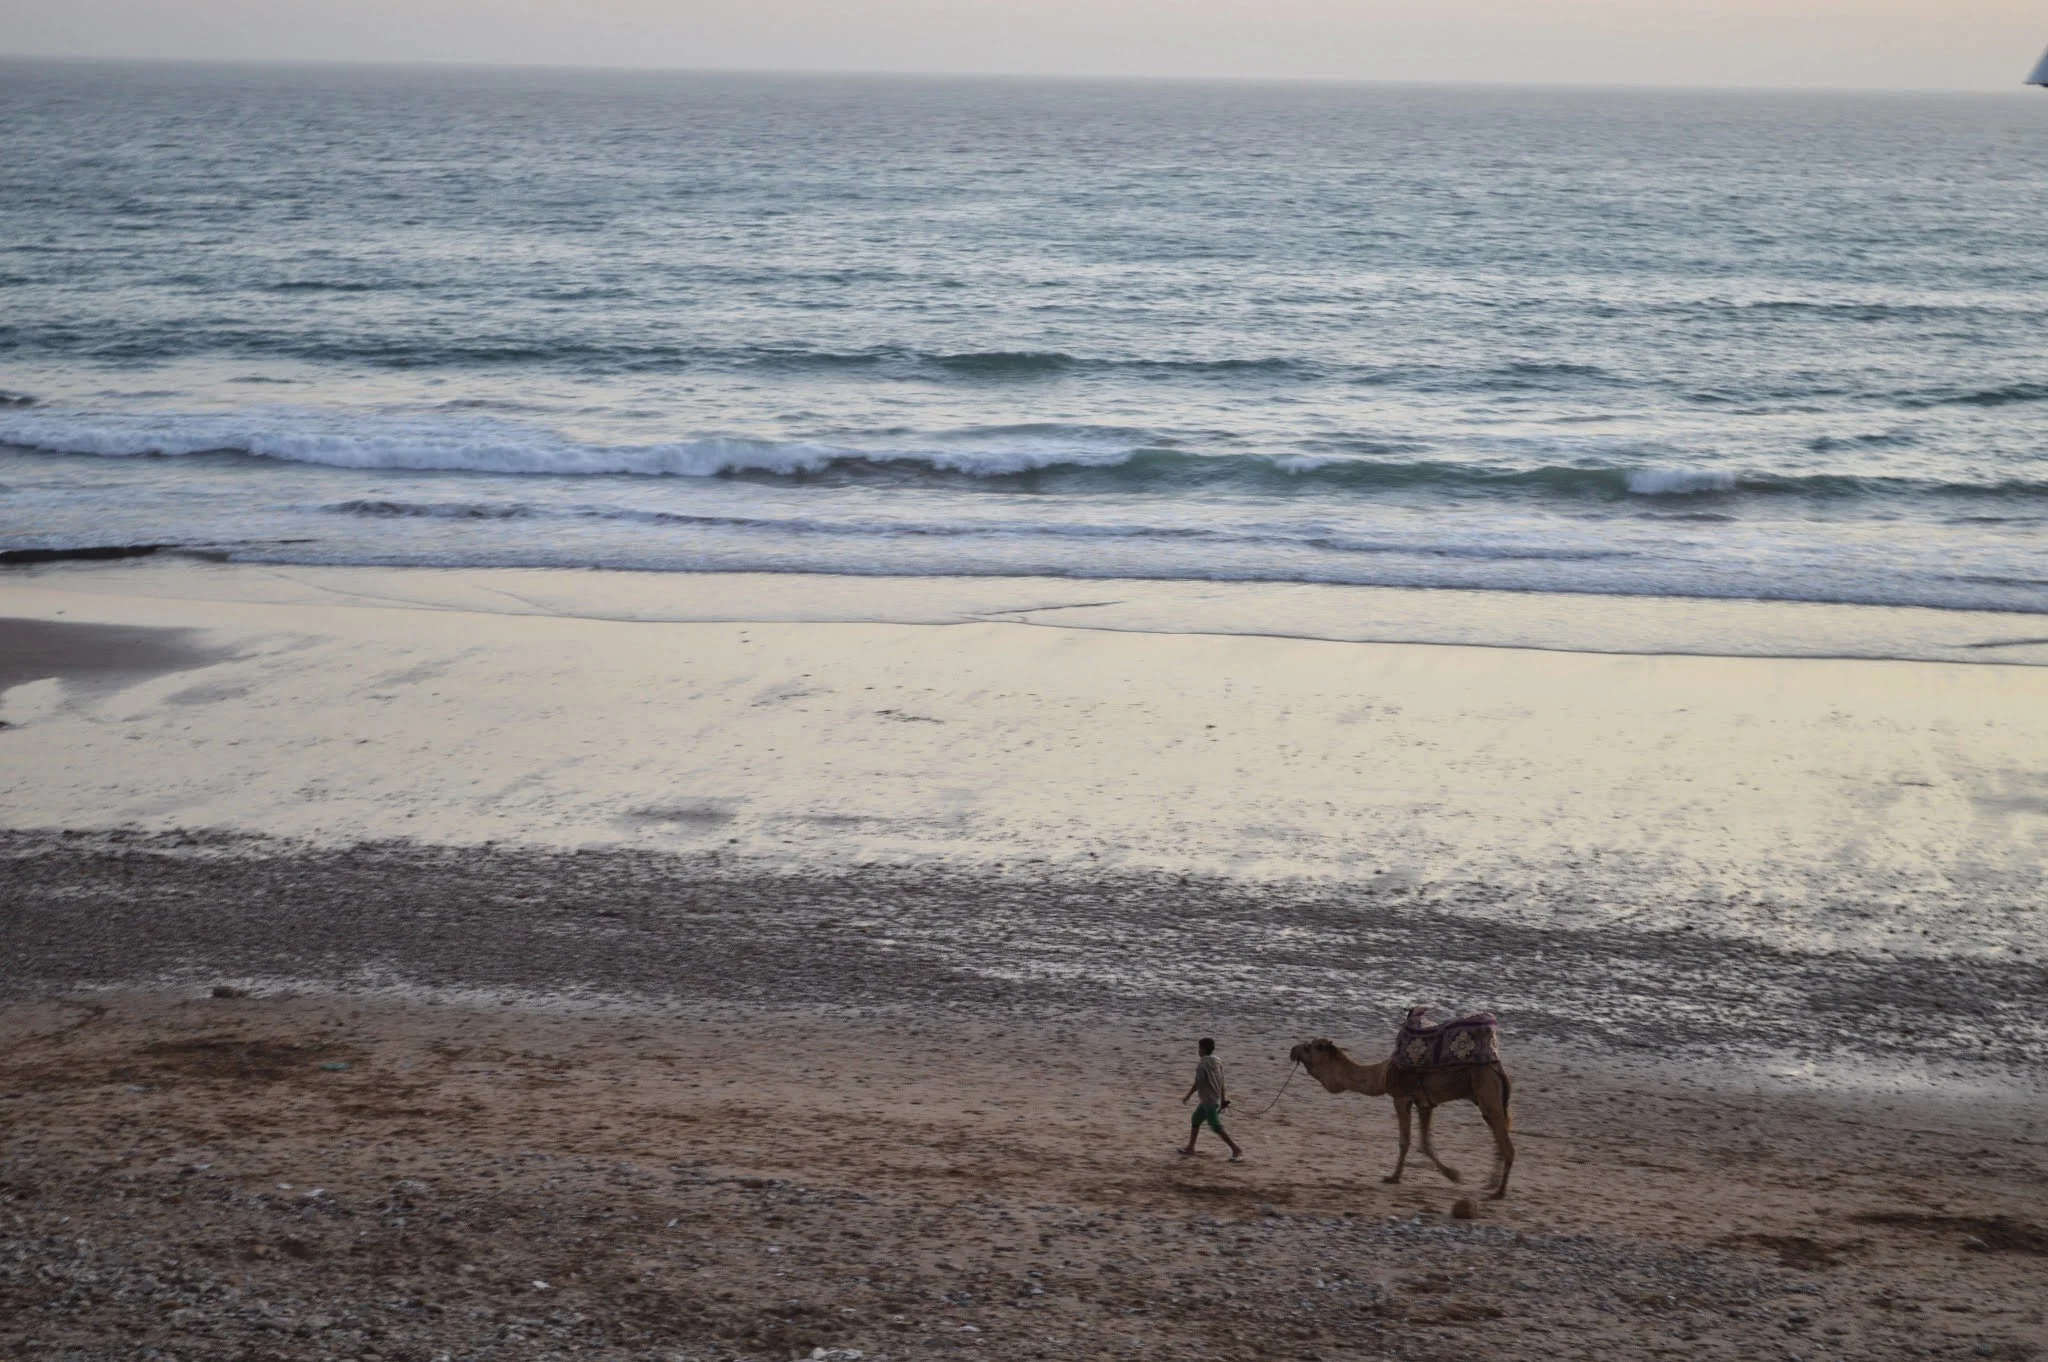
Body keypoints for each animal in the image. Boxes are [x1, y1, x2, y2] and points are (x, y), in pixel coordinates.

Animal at [1288, 1036, 1515, 1198]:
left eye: (1308, 1048)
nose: (1292, 1050)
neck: (1382, 1075)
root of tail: (1498, 1069)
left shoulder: (1401, 1097)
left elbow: (1404, 1141)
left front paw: (1393, 1177)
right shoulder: (1425, 1103)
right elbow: (1425, 1143)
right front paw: (1452, 1174)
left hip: (1487, 1092)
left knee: (1506, 1144)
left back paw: (1499, 1191)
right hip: (1488, 1099)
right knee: (1498, 1134)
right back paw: (1491, 1183)